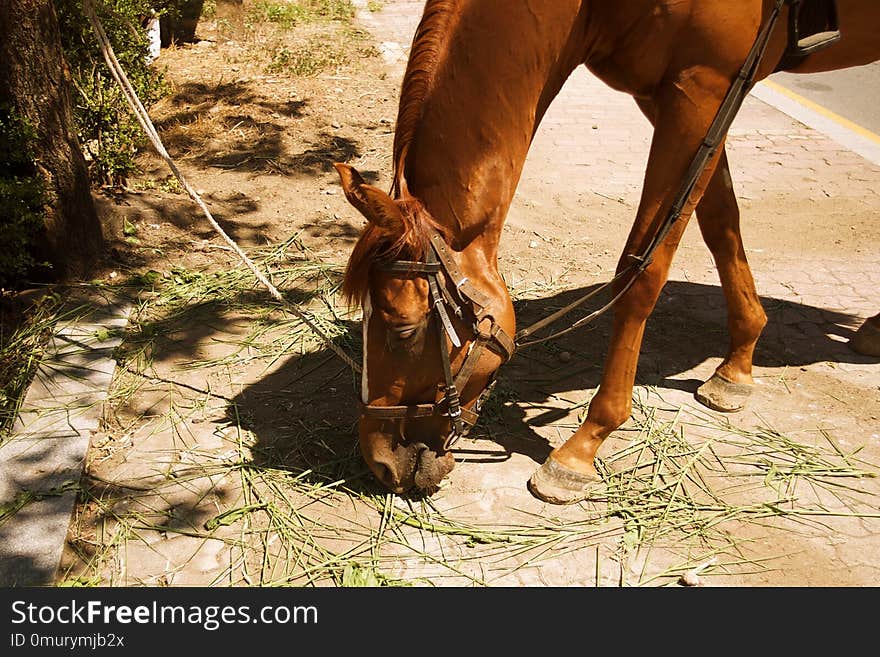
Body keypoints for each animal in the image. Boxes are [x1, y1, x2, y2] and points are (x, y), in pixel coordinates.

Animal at [332, 1, 880, 502]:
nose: (380, 462)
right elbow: (719, 220)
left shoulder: (703, 87)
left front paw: (583, 447)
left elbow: (642, 269)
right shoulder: (681, 96)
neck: (591, 10)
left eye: (403, 329)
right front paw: (738, 363)